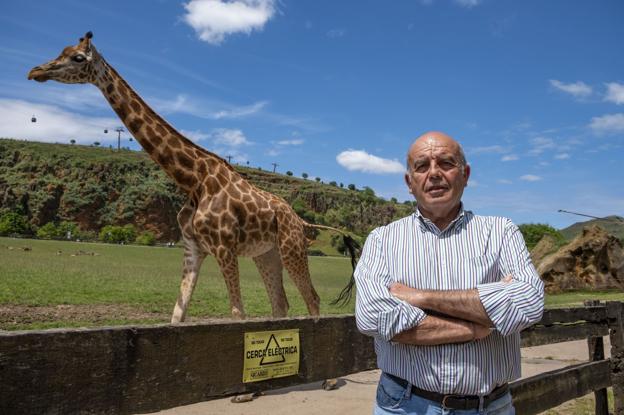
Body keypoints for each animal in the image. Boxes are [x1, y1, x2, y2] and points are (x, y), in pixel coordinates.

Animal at [29, 33, 358, 324]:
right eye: (62, 50)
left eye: (78, 57)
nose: (36, 71)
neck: (192, 179)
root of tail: (300, 219)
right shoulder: (193, 247)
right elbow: (178, 313)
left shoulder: (224, 247)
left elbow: (237, 313)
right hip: (266, 254)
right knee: (281, 303)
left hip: (292, 247)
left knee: (312, 298)